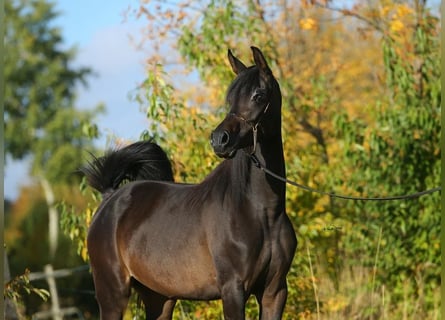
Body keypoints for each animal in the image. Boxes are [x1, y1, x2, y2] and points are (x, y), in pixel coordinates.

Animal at [82, 47, 298, 320]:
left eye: (258, 95)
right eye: (230, 98)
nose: (219, 140)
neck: (262, 211)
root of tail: (110, 199)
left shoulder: (274, 291)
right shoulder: (233, 289)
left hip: (159, 298)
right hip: (113, 293)